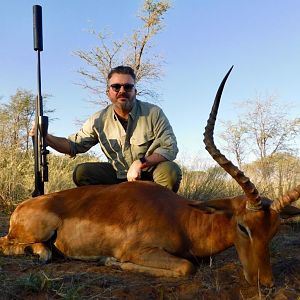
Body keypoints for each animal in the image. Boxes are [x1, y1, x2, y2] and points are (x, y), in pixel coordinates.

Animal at [0, 67, 300, 286]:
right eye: (243, 227)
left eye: (273, 230)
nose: (266, 283)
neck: (182, 219)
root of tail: (22, 206)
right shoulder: (141, 250)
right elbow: (186, 267)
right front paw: (109, 262)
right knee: (16, 245)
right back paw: (44, 253)